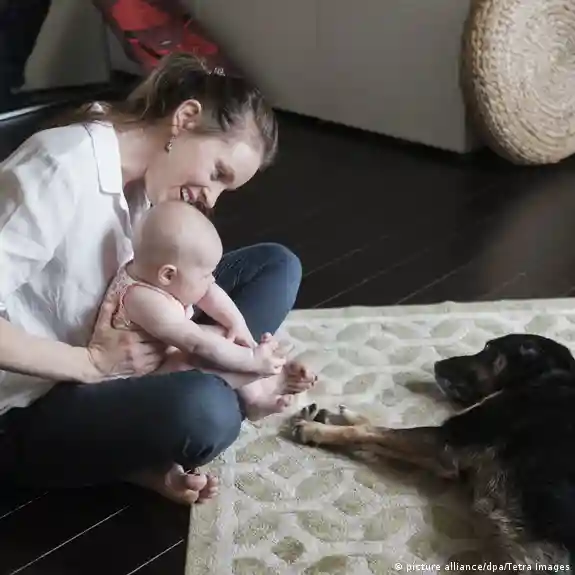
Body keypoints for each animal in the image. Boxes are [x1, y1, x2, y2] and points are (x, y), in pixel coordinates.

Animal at [290, 334, 575, 566]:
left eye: (487, 349)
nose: (437, 364)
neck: (544, 373)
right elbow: (373, 428)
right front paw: (339, 416)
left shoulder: (445, 444)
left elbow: (369, 432)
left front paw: (316, 430)